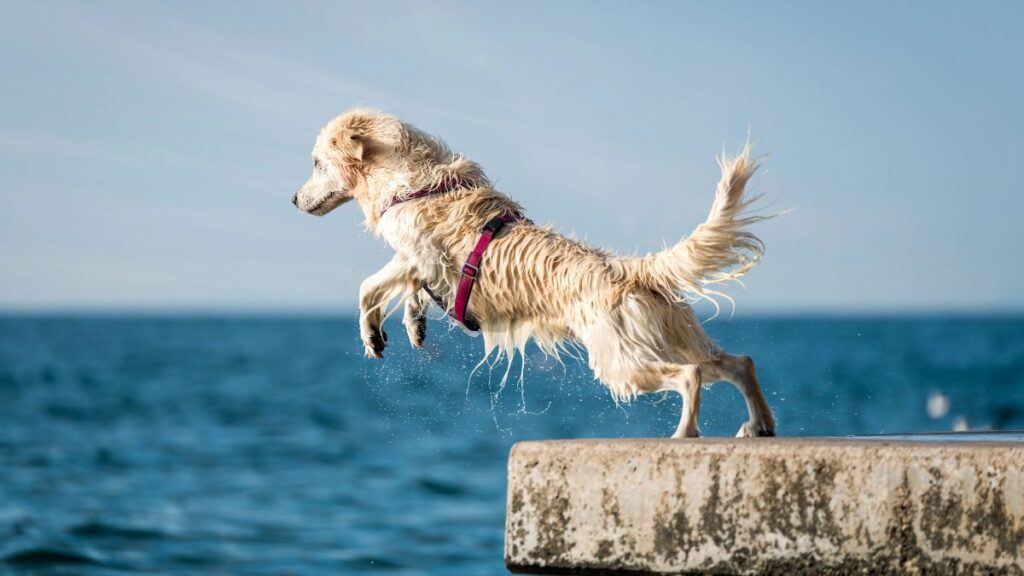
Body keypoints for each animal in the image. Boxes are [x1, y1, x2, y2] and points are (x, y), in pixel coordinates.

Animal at [296, 109, 774, 436]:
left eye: (317, 163)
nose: (294, 200)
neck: (411, 179)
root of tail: (630, 268)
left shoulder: (420, 255)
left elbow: (368, 286)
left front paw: (372, 335)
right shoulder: (418, 262)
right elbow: (406, 292)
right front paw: (413, 326)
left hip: (621, 361)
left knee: (691, 375)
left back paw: (684, 433)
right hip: (669, 339)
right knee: (739, 363)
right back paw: (758, 425)